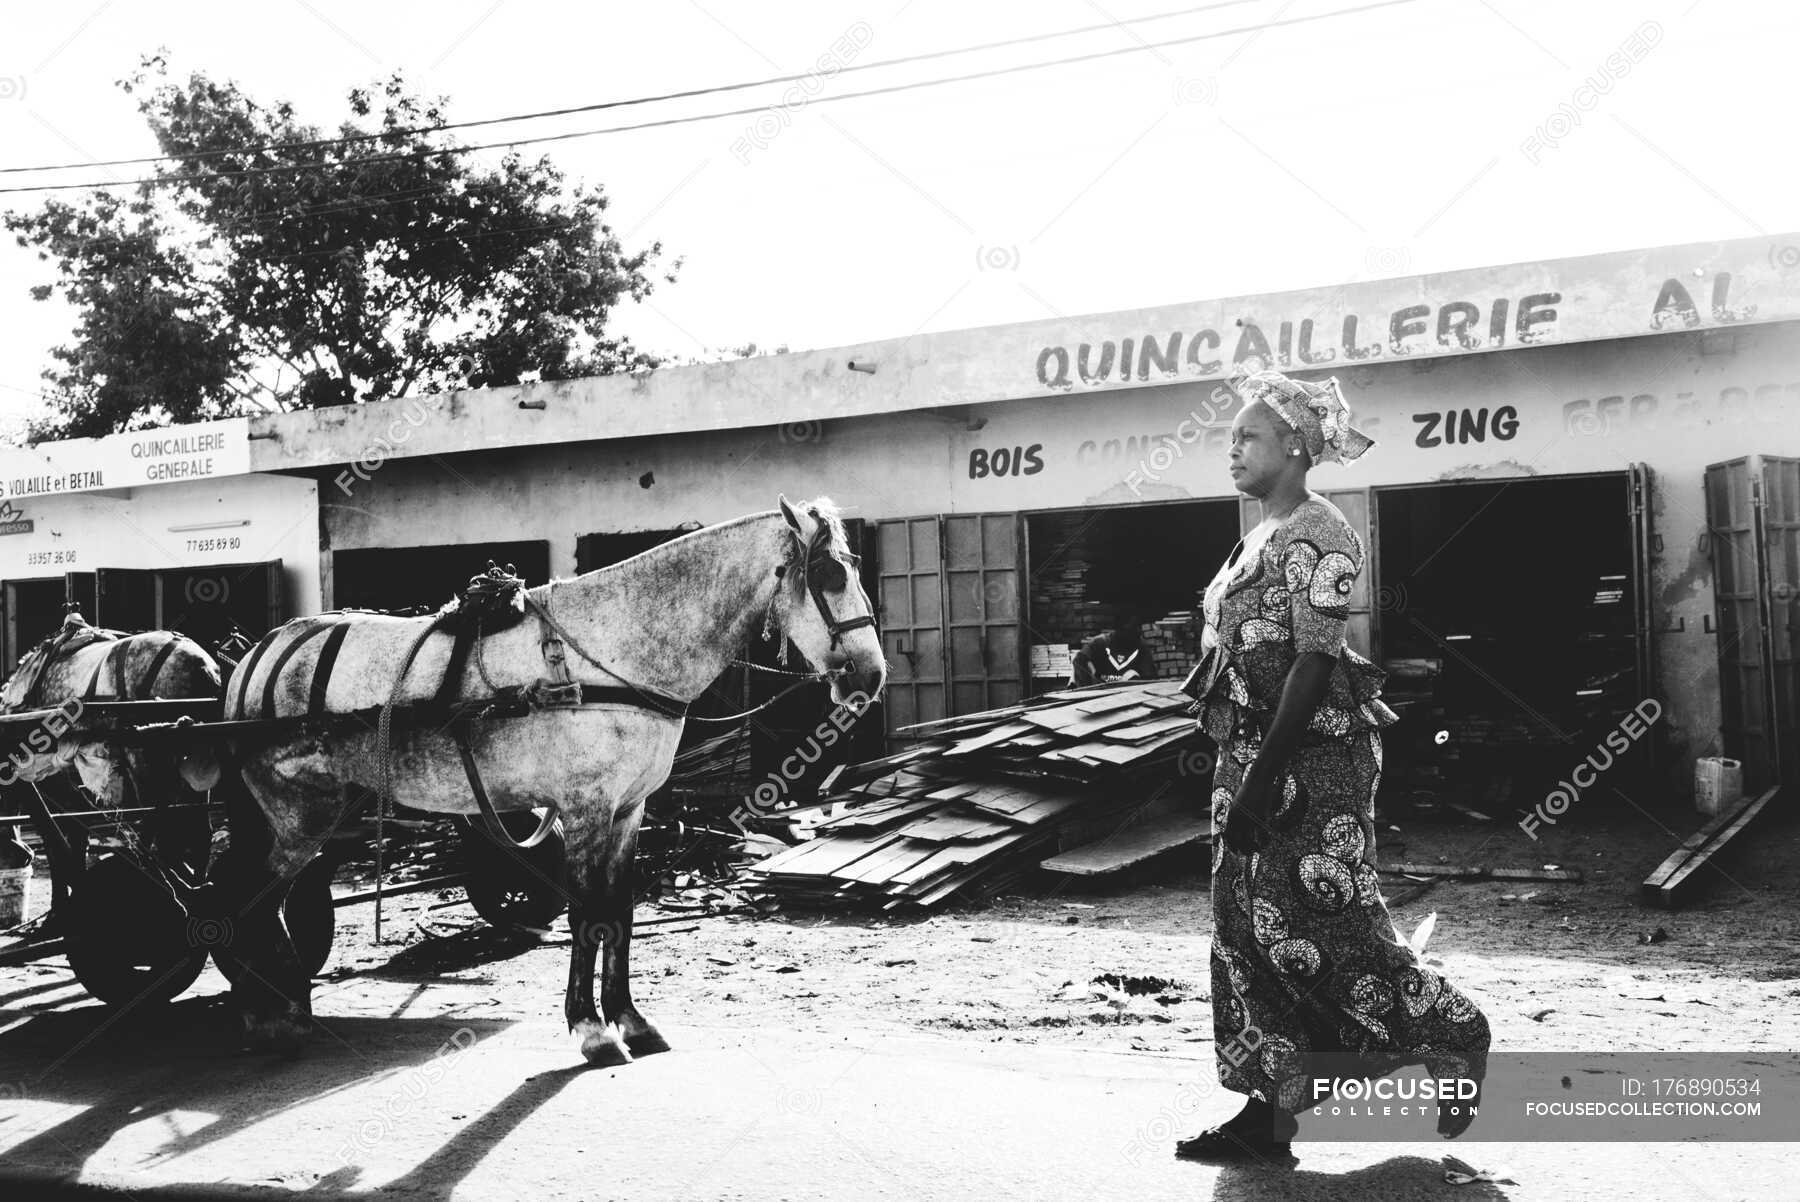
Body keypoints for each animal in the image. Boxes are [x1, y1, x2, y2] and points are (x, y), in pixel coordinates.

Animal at [214, 496, 889, 1058]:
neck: (612, 649)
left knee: (272, 897)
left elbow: (618, 909)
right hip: (295, 815)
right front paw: (590, 1028)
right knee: (246, 897)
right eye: (830, 576)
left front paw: (629, 1018)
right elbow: (586, 911)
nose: (871, 675)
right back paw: (268, 1014)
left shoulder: (628, 810)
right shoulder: (586, 807)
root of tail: (262, 652)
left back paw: (282, 1002)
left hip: (328, 810)